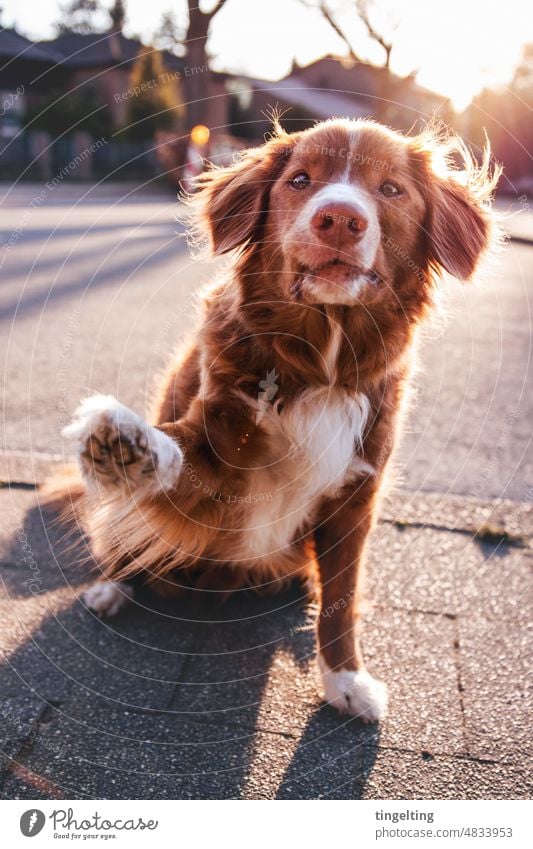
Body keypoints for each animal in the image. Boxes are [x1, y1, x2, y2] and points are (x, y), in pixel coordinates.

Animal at [62, 116, 498, 720]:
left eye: (390, 189)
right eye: (300, 180)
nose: (339, 218)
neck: (320, 363)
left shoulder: (357, 496)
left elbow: (343, 599)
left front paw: (346, 681)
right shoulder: (218, 467)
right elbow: (173, 452)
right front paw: (126, 443)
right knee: (124, 535)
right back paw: (112, 586)